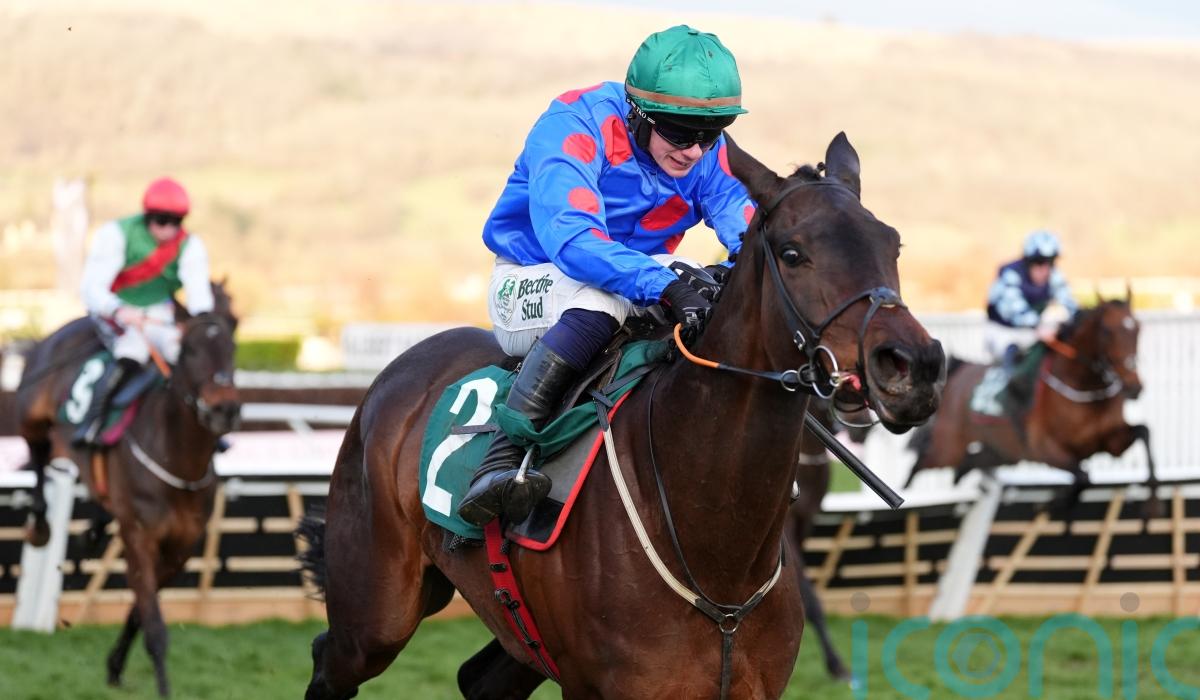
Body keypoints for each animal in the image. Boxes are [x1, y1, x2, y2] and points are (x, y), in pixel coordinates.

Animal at [15, 282, 241, 697]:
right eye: (189, 349)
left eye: (233, 343)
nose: (224, 410)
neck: (178, 458)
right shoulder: (140, 536)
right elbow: (153, 624)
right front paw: (162, 687)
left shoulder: (181, 546)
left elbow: (140, 609)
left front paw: (115, 665)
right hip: (31, 413)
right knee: (38, 455)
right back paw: (40, 525)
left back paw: (93, 527)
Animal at [300, 133, 946, 699]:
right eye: (793, 253)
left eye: (892, 245)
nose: (911, 365)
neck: (716, 549)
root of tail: (394, 374)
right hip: (375, 613)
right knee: (332, 661)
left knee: (478, 680)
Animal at [905, 293, 1151, 514]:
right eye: (1108, 331)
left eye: (1138, 328)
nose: (1134, 387)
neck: (1085, 390)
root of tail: (960, 369)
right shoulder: (1044, 449)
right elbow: (1083, 477)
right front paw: (1053, 503)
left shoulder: (1109, 443)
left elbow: (1144, 431)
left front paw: (1152, 501)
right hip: (948, 449)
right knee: (919, 464)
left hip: (1001, 451)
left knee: (966, 464)